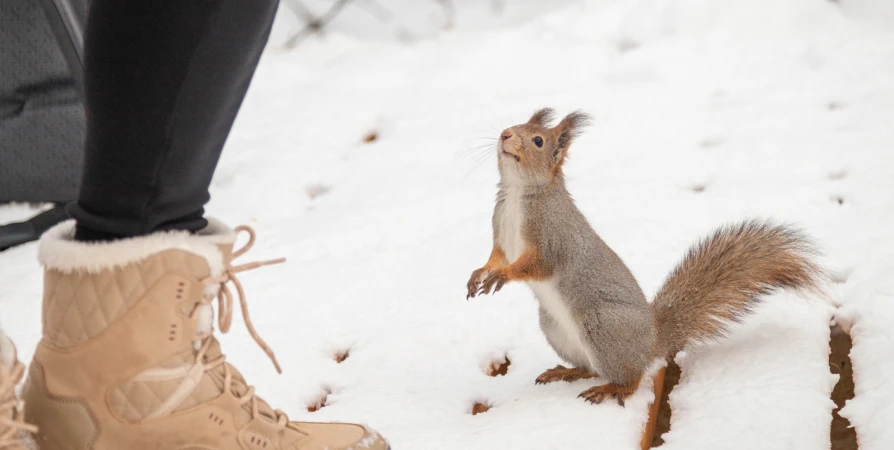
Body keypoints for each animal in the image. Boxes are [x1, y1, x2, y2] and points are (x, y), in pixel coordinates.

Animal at [468, 108, 824, 404]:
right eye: (516, 123)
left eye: (538, 140)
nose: (505, 135)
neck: (517, 194)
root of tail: (652, 340)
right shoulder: (501, 235)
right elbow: (496, 258)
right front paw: (478, 274)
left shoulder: (552, 239)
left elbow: (534, 264)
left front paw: (502, 276)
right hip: (555, 328)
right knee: (590, 367)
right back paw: (568, 371)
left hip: (603, 326)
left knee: (631, 378)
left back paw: (612, 389)